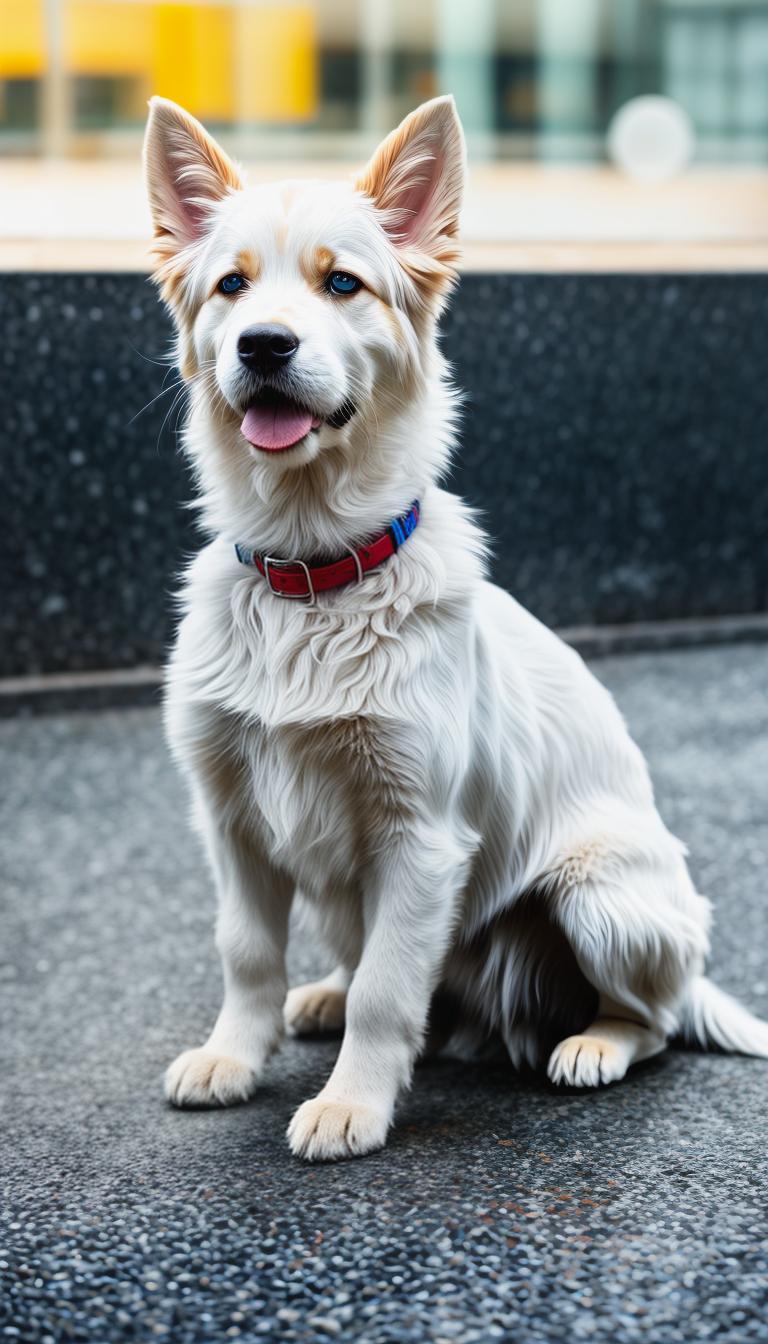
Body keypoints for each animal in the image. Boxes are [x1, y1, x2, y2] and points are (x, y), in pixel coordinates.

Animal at [143, 94, 768, 1161]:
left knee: (651, 1018)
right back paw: (326, 993)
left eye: (341, 283)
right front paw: (234, 1056)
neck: (315, 574)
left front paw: (351, 1105)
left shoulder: (421, 836)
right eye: (231, 285)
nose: (263, 344)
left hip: (598, 892)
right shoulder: (231, 821)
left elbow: (391, 994)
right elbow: (248, 953)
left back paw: (592, 1044)